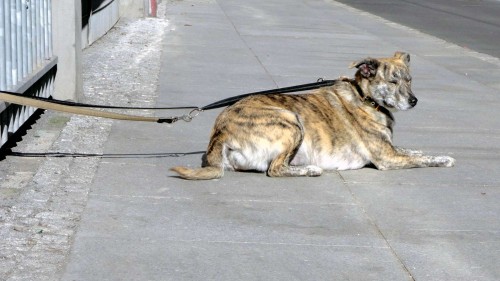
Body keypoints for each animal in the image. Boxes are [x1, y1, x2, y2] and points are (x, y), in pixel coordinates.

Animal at [172, 52, 458, 179]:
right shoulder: (387, 158)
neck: (364, 97)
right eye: (393, 81)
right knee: (275, 169)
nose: (414, 101)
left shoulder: (391, 149)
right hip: (290, 121)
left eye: (409, 80)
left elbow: (413, 150)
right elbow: (422, 159)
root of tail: (219, 133)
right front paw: (444, 159)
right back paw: (309, 169)